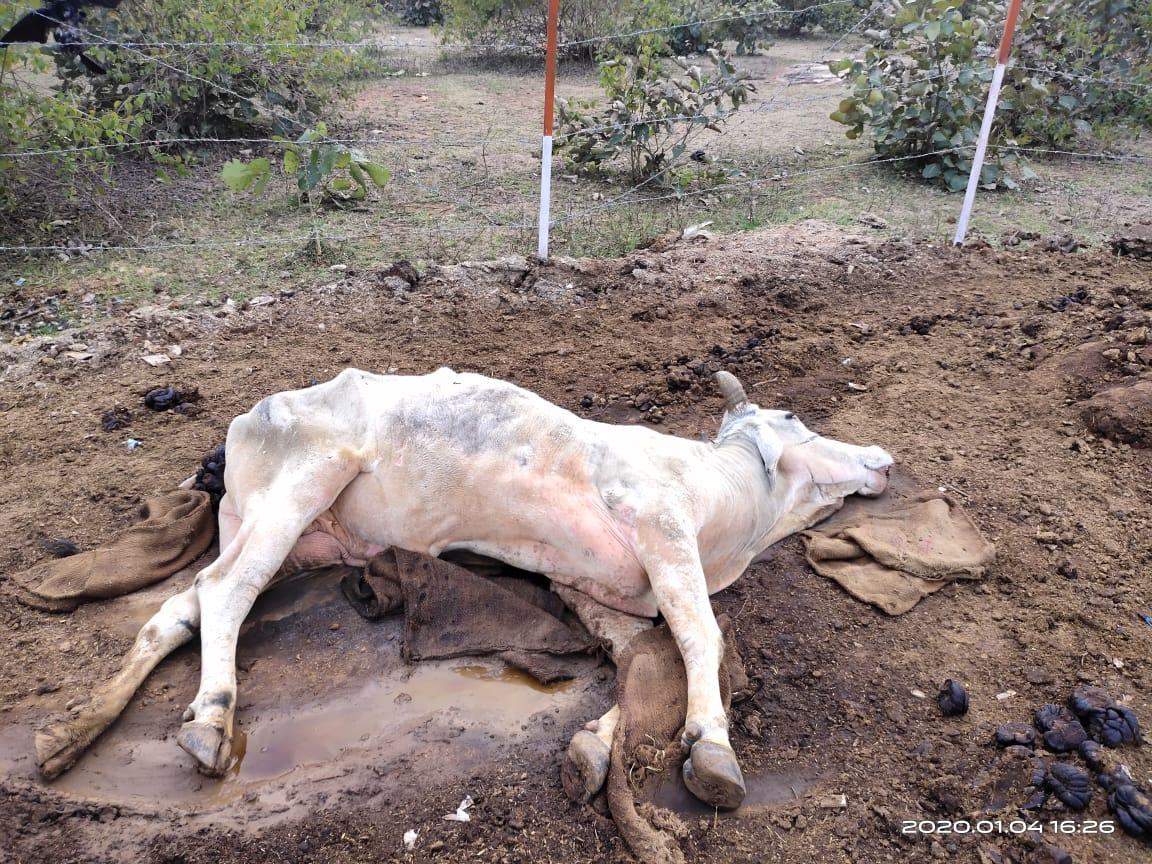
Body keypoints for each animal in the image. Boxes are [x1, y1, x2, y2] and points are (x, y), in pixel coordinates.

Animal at [36, 366, 889, 811]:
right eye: (795, 414)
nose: (881, 456)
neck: (729, 522)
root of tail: (249, 417)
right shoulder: (658, 525)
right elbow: (699, 637)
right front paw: (712, 747)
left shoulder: (598, 588)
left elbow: (645, 663)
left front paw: (594, 747)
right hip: (302, 486)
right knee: (223, 592)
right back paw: (210, 720)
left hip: (294, 531)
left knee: (177, 608)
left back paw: (73, 731)